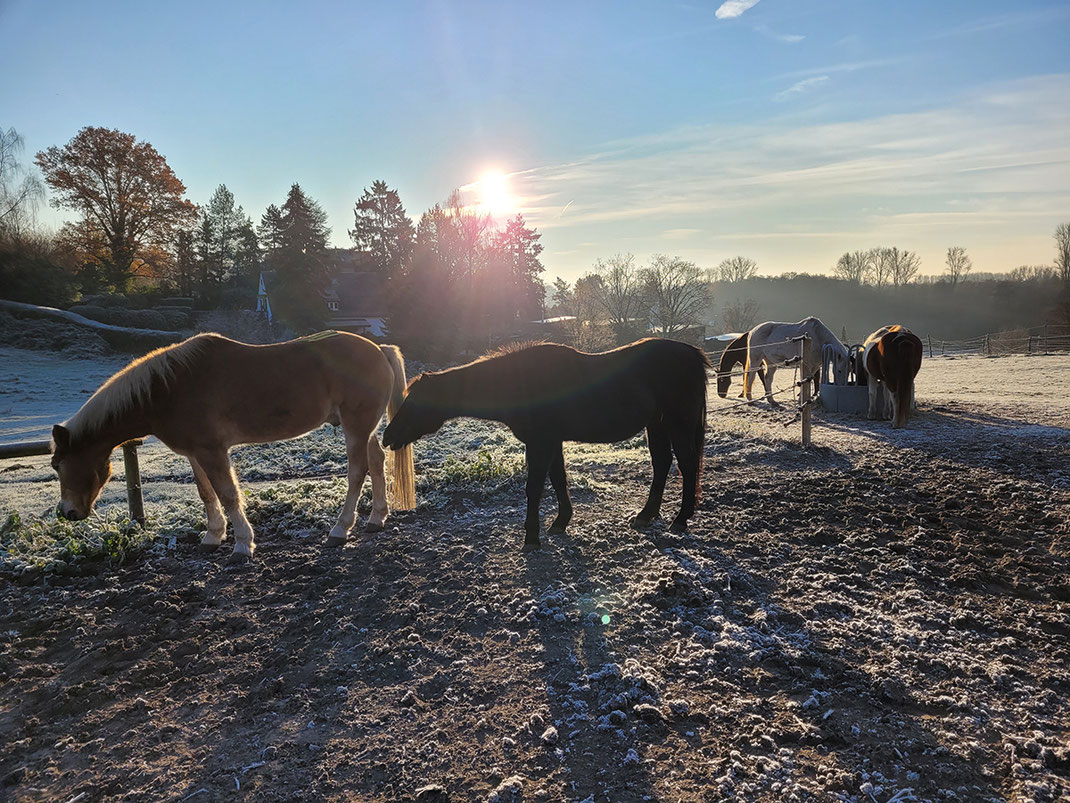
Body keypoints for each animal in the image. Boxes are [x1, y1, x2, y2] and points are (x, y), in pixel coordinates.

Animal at [52, 331, 415, 561]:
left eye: (58, 465)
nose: (67, 513)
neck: (167, 390)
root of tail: (379, 350)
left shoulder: (213, 451)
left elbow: (228, 494)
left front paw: (242, 545)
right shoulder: (195, 452)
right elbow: (206, 493)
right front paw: (213, 536)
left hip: (356, 427)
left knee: (357, 472)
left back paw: (340, 529)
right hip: (363, 429)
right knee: (377, 461)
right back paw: (376, 519)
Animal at [380, 336, 714, 552]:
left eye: (414, 402)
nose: (387, 437)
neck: (521, 382)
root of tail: (692, 354)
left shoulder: (540, 442)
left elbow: (534, 488)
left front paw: (531, 538)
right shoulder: (552, 441)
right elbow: (558, 480)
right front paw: (560, 523)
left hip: (677, 424)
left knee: (686, 465)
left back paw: (681, 519)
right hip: (656, 425)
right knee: (662, 464)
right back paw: (647, 515)